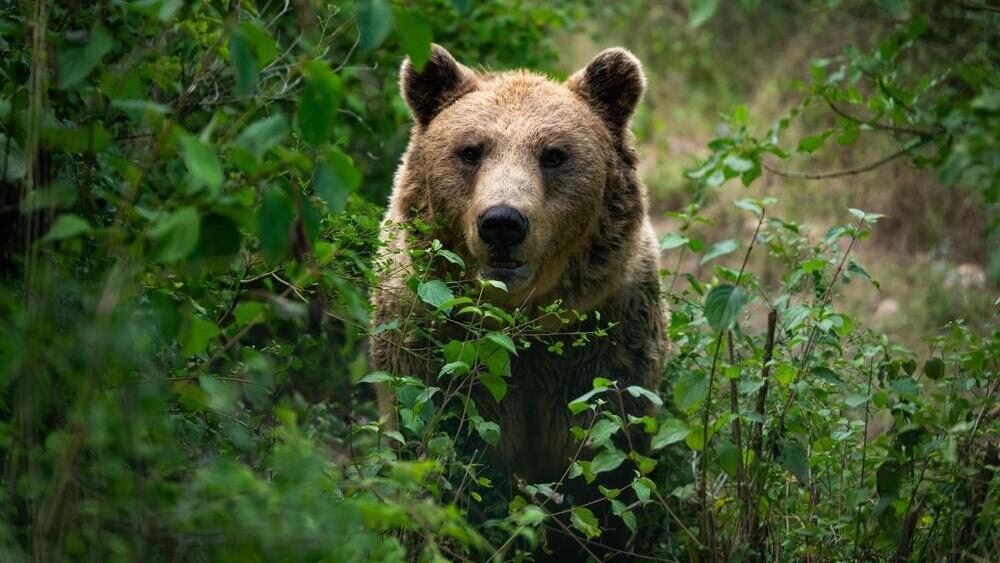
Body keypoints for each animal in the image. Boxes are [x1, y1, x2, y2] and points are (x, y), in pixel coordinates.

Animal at [370, 44, 665, 561]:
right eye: (471, 150)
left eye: (554, 155)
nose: (503, 222)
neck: (519, 320)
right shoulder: (433, 339)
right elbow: (446, 452)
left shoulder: (603, 341)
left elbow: (602, 467)